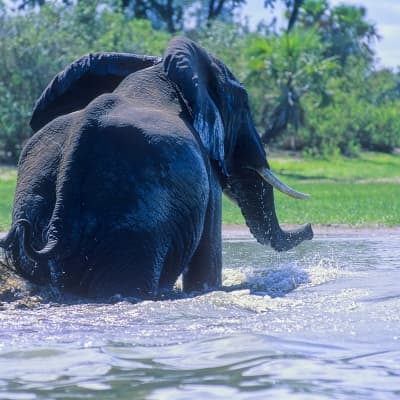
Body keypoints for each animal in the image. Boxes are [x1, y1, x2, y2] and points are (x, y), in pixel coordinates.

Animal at [0, 36, 312, 300]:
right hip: (136, 223)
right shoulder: (206, 172)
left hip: (35, 198)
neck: (163, 72)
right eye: (245, 104)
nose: (309, 228)